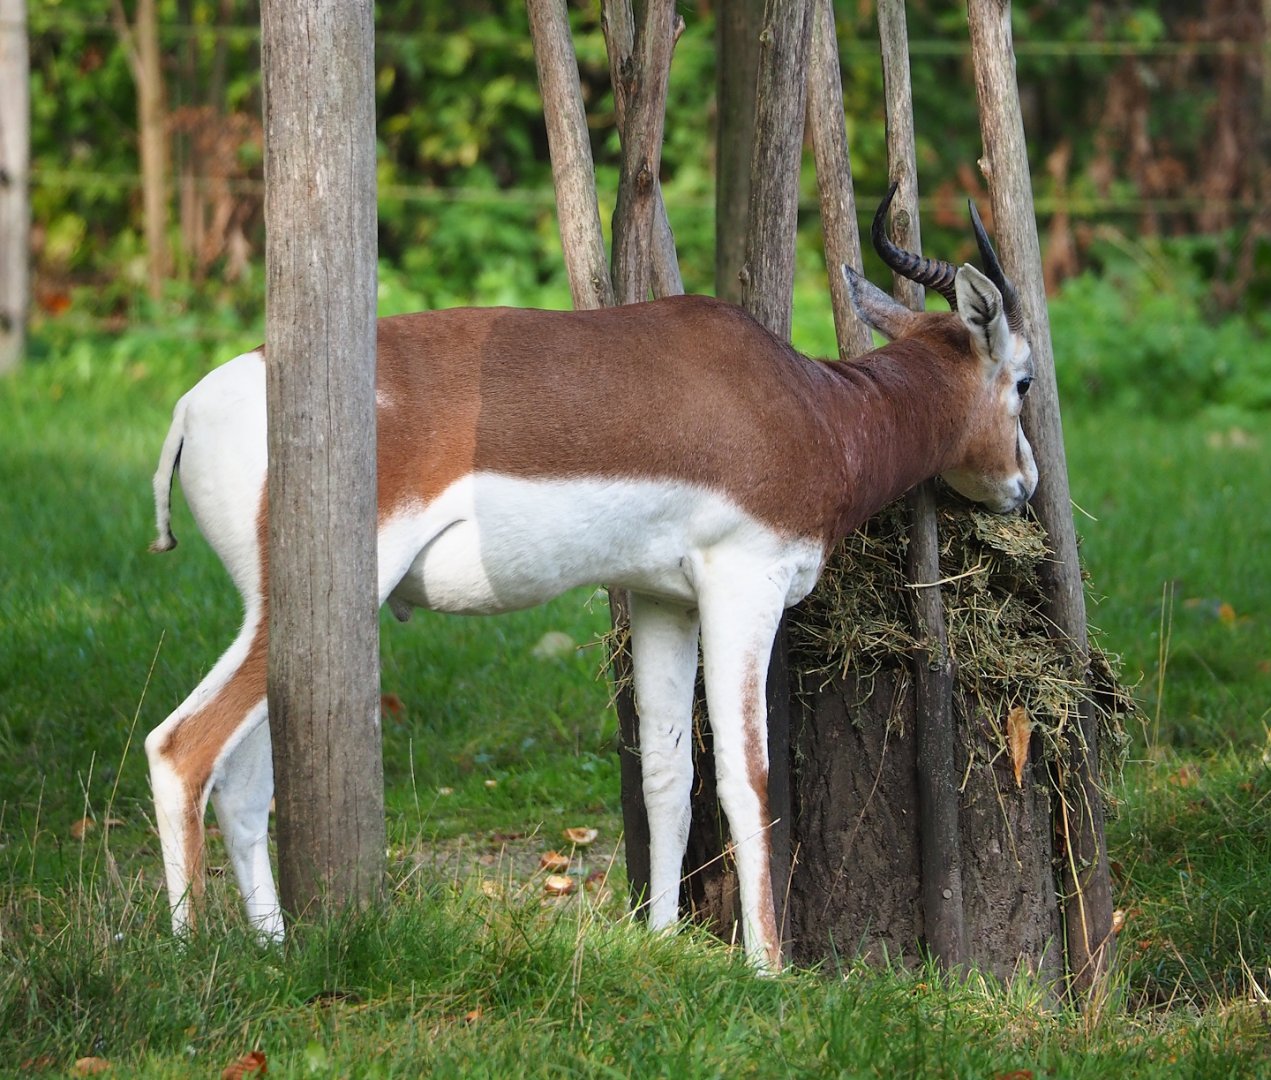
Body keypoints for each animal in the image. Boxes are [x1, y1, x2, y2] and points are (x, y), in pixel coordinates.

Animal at [145, 186, 1036, 972]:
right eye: (1023, 380)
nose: (1024, 485)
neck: (812, 410)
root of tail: (191, 405)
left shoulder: (663, 598)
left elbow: (669, 774)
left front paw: (665, 943)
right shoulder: (741, 584)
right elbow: (745, 777)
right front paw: (768, 969)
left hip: (293, 616)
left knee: (241, 781)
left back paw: (275, 950)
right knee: (180, 747)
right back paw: (191, 957)